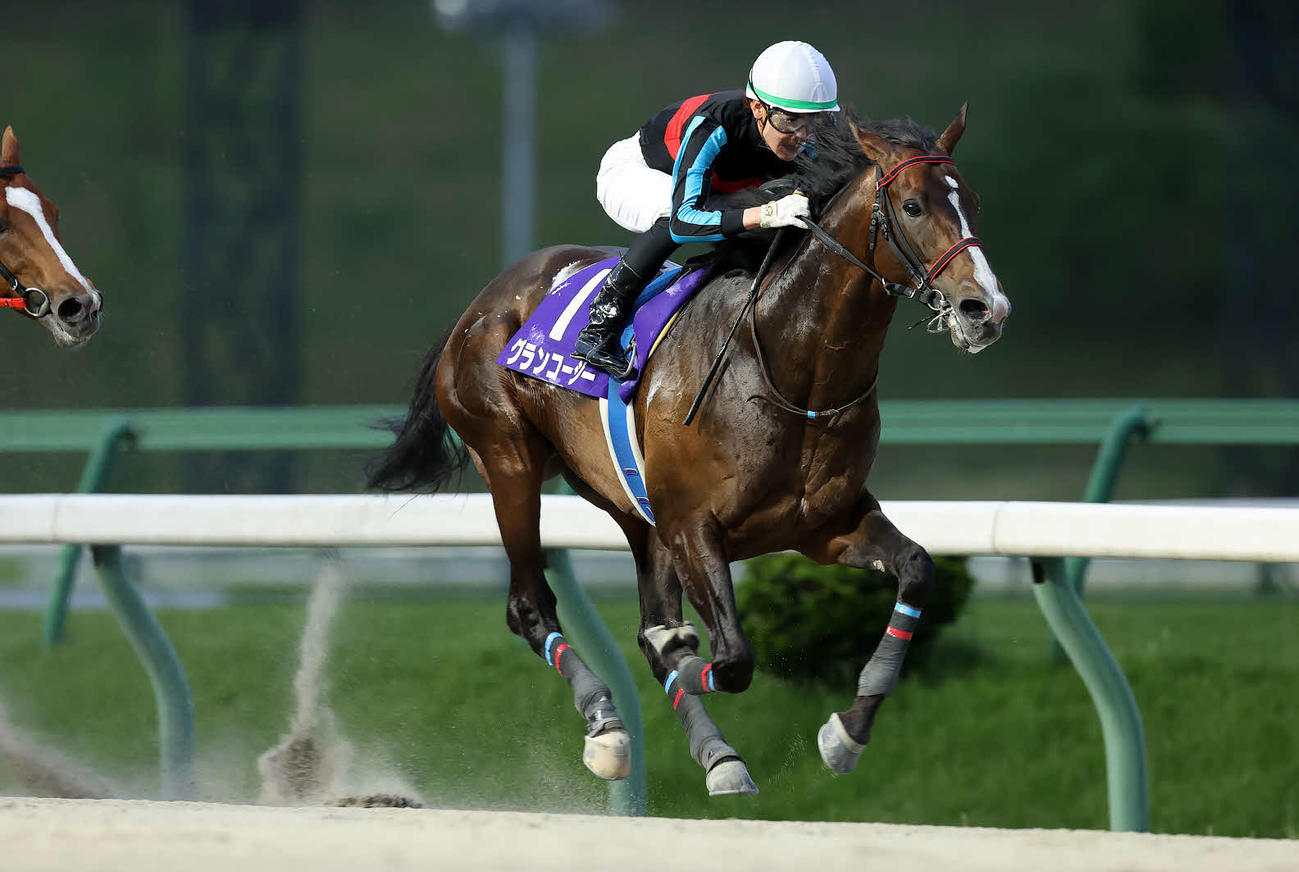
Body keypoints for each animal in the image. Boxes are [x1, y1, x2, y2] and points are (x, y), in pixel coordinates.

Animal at [370, 107, 1010, 795]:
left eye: (973, 201)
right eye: (913, 206)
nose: (985, 308)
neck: (789, 367)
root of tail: (481, 305)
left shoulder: (825, 525)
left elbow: (916, 568)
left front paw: (847, 733)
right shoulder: (693, 524)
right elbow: (728, 659)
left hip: (629, 502)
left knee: (650, 621)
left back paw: (714, 753)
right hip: (510, 463)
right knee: (530, 606)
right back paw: (607, 726)